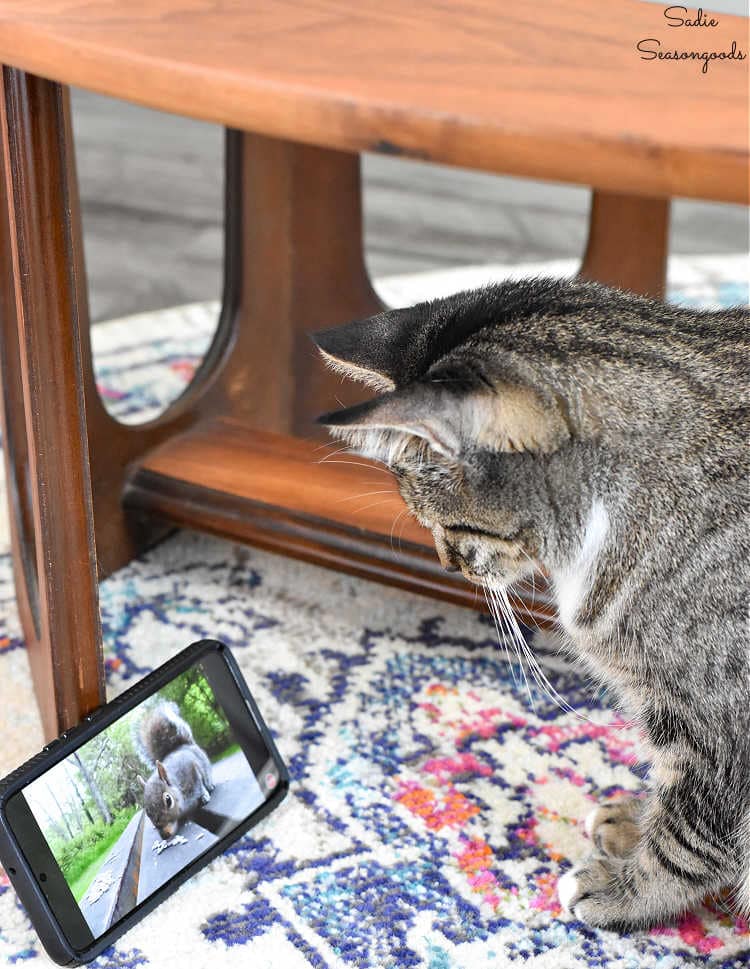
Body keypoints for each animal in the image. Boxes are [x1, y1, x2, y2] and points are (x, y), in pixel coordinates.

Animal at [137, 700, 214, 836]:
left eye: (168, 800)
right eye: (146, 810)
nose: (164, 834)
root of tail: (179, 747)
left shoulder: (192, 771)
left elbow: (200, 785)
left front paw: (204, 796)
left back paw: (210, 786)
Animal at [312, 276, 750, 928]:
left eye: (446, 523)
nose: (448, 563)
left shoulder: (719, 732)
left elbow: (687, 840)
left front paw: (624, 891)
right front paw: (632, 822)